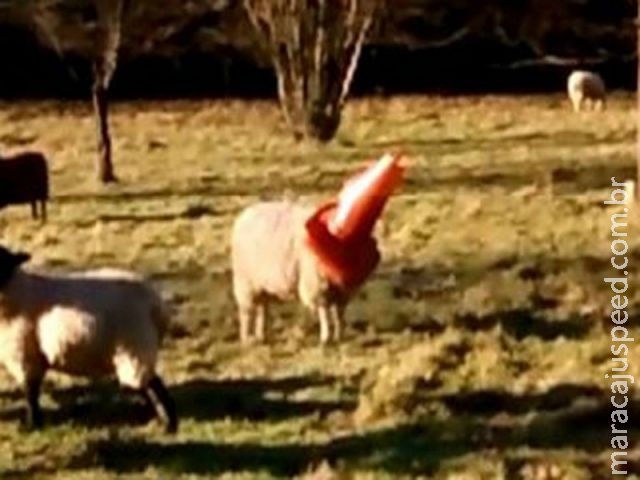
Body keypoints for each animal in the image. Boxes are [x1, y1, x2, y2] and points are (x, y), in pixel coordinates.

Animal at [0, 246, 178, 434]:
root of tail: (157, 305)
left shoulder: (25, 354)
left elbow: (30, 392)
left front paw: (31, 425)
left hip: (135, 344)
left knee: (151, 383)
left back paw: (169, 424)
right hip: (134, 348)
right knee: (145, 384)